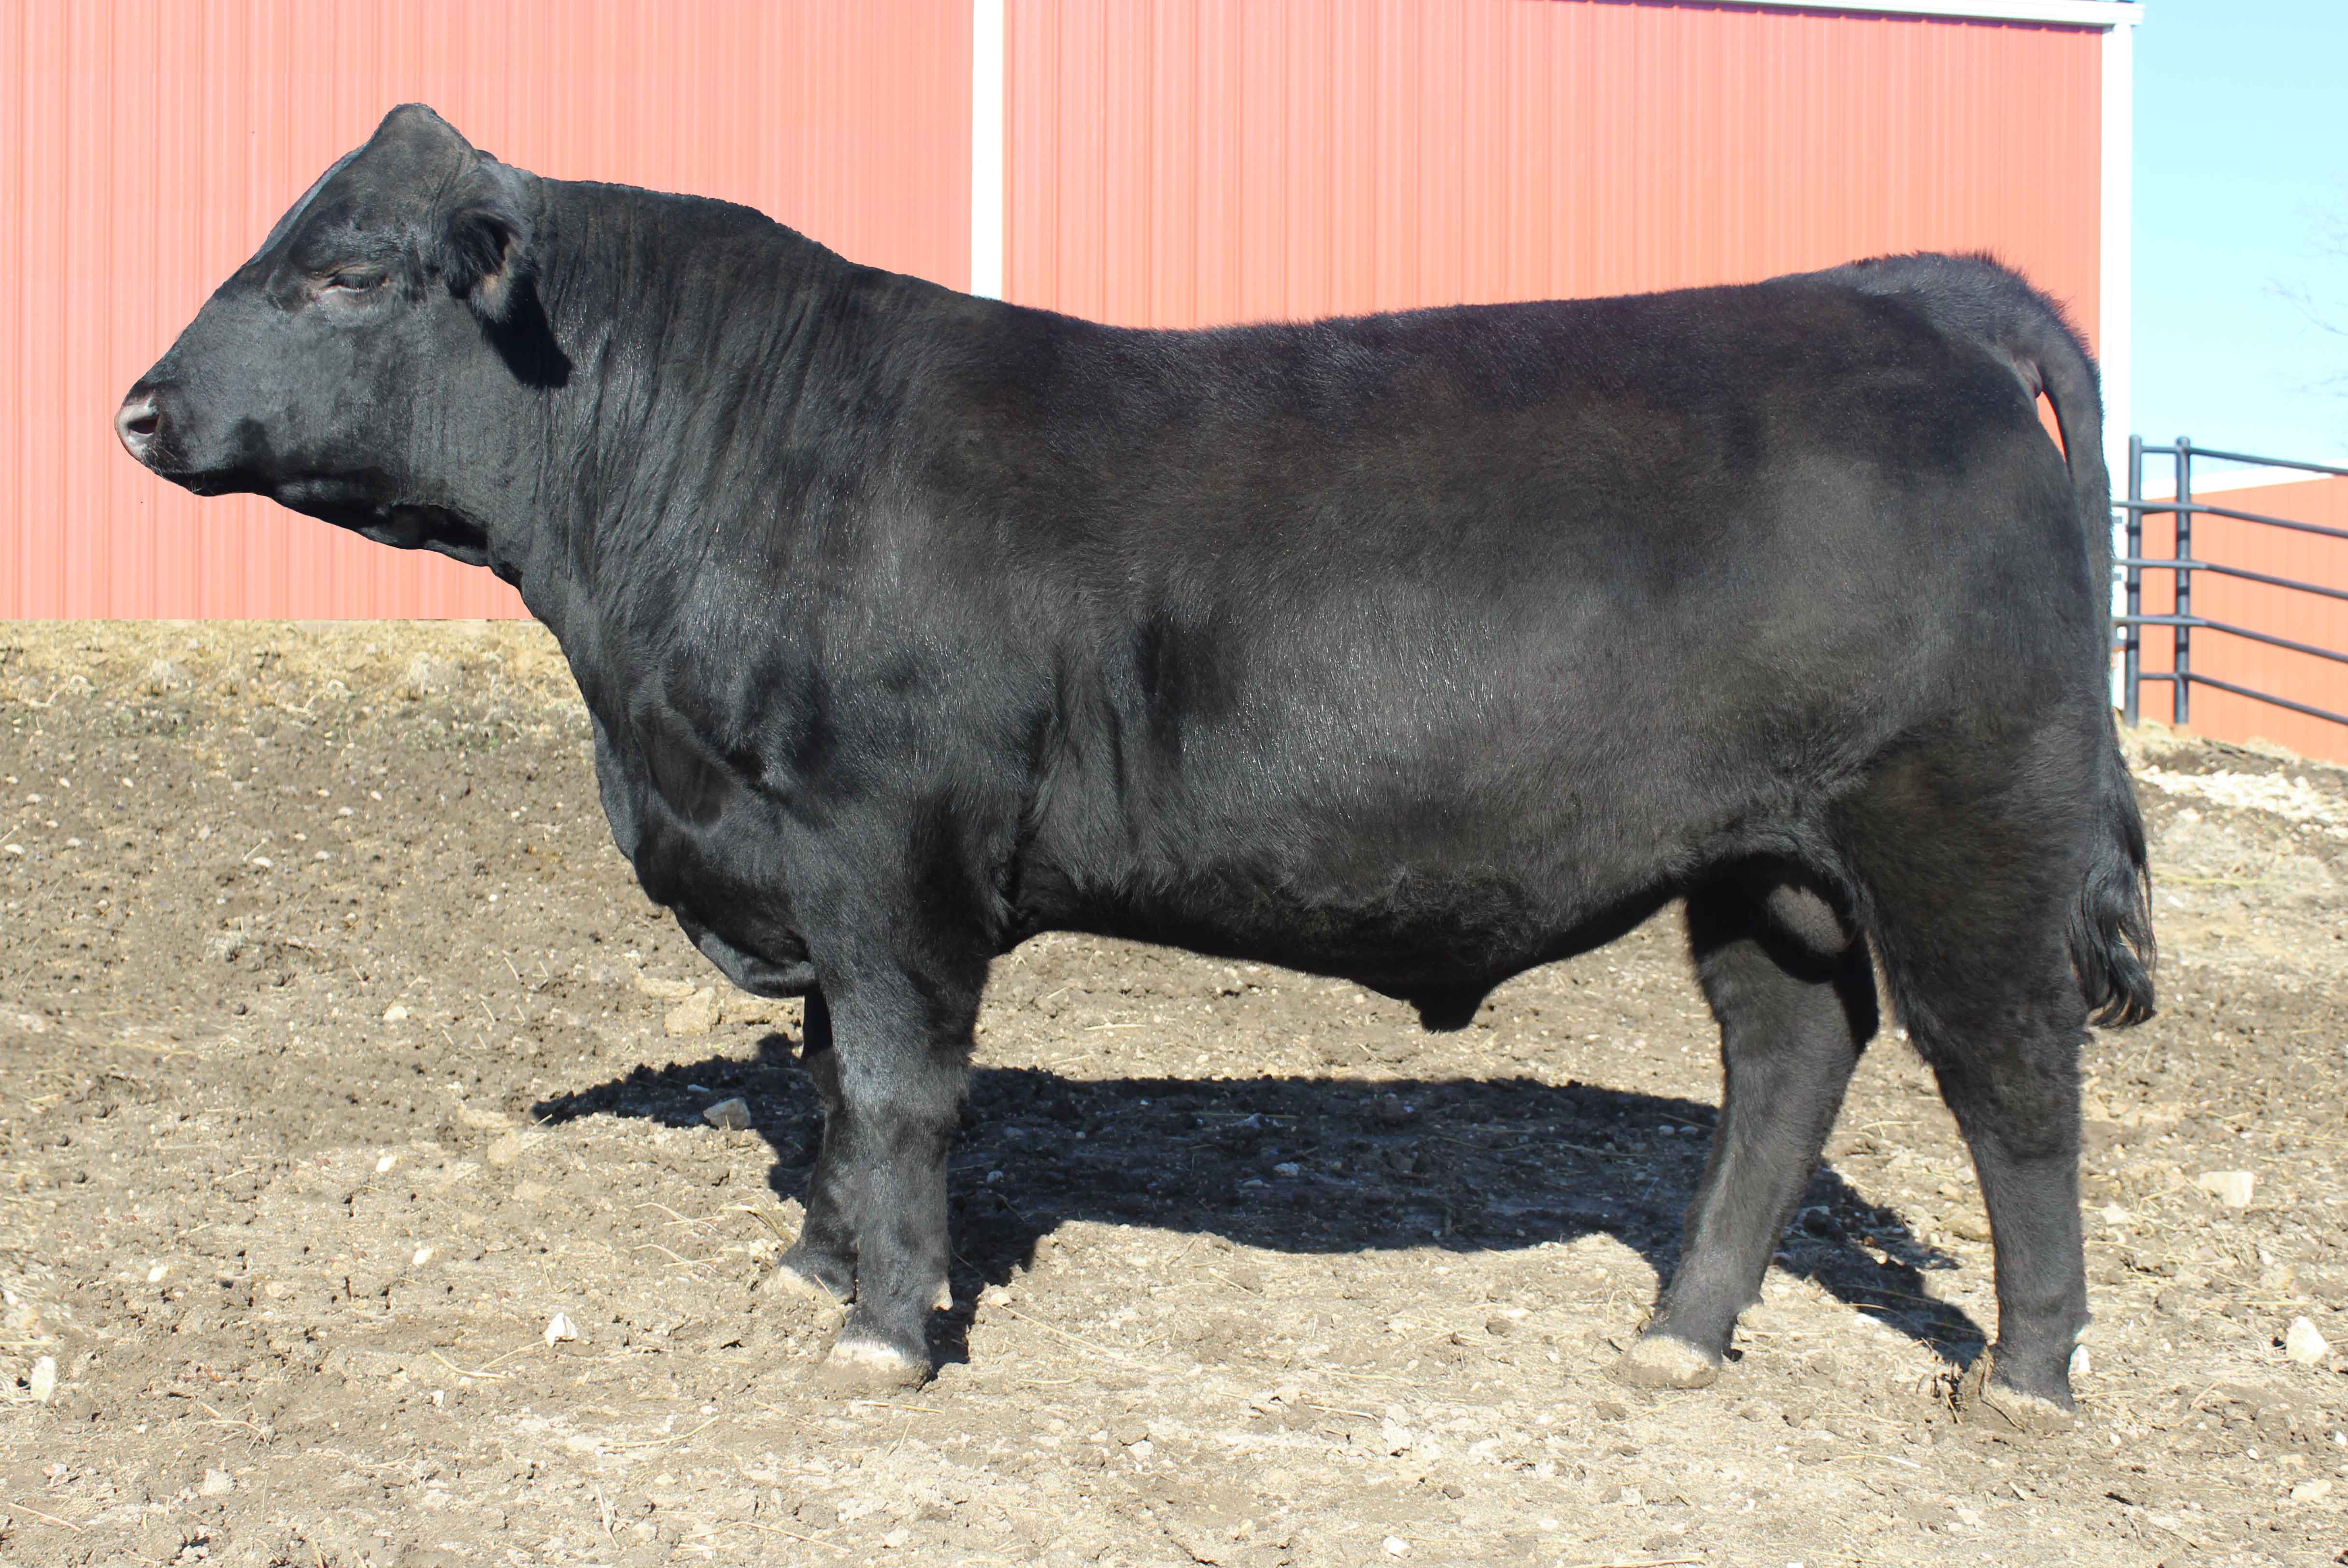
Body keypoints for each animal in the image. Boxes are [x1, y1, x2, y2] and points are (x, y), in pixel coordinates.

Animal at [119, 106, 2154, 1429]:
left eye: (346, 273)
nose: (138, 403)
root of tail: (1885, 298)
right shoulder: (800, 850)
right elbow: (827, 1083)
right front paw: (818, 1267)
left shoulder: (884, 846)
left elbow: (893, 1084)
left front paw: (885, 1329)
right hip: (1763, 867)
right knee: (1786, 1062)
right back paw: (1680, 1328)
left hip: (1964, 833)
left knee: (2012, 1084)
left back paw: (2028, 1377)